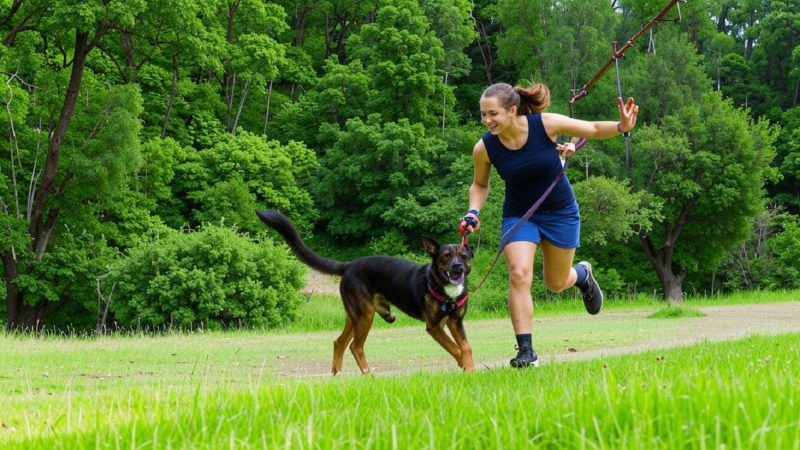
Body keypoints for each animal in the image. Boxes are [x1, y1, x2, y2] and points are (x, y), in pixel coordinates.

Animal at [255, 209, 476, 374]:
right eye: (446, 256)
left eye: (464, 256)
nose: (458, 268)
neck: (445, 290)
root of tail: (349, 265)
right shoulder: (434, 327)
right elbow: (455, 347)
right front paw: (465, 366)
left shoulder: (456, 322)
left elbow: (465, 346)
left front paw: (470, 367)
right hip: (365, 314)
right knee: (355, 346)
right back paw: (368, 375)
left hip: (355, 315)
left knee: (339, 342)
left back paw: (337, 374)